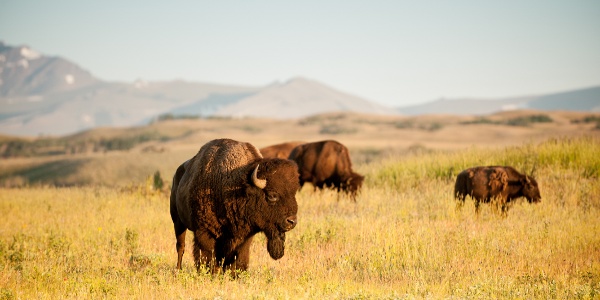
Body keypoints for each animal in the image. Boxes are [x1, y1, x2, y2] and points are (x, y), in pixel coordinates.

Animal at [169, 138, 300, 274]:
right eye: (272, 195)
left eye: (293, 193)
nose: (292, 221)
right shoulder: (204, 232)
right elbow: (207, 257)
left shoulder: (243, 238)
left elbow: (238, 260)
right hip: (177, 222)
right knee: (181, 247)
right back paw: (178, 270)